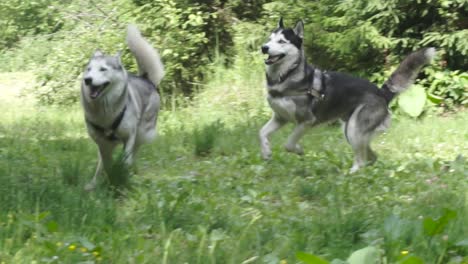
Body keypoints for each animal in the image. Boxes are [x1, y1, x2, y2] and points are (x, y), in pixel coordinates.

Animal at [82, 24, 165, 189]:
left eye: (103, 69)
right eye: (89, 69)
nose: (87, 80)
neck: (105, 111)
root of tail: (145, 78)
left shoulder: (129, 136)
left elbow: (126, 158)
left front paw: (123, 178)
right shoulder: (102, 143)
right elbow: (106, 164)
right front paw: (109, 180)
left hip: (142, 132)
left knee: (135, 152)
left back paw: (132, 170)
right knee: (100, 163)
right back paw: (93, 182)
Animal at [260, 17, 436, 172]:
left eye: (282, 41)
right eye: (269, 39)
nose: (264, 48)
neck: (284, 78)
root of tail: (381, 92)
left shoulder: (307, 121)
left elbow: (288, 144)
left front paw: (298, 150)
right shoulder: (280, 118)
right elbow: (261, 133)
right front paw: (266, 152)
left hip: (353, 130)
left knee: (361, 160)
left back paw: (351, 173)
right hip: (350, 132)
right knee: (371, 157)